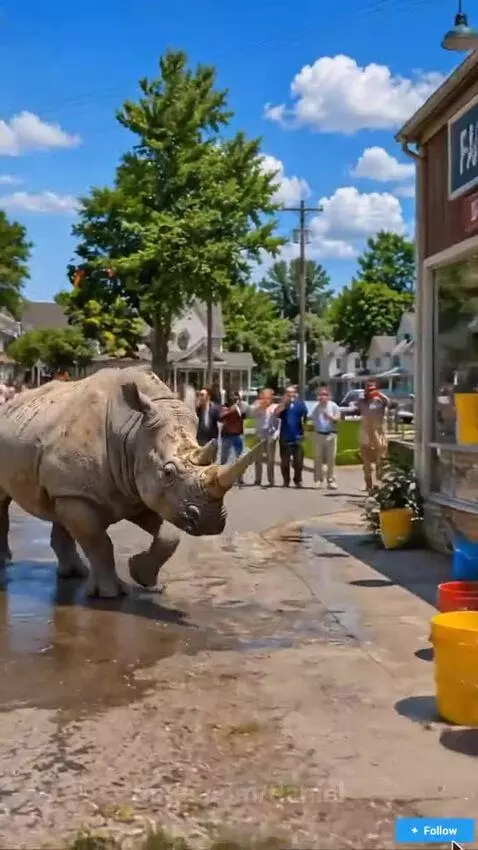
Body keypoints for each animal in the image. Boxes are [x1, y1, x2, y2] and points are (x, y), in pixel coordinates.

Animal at [0, 367, 263, 597]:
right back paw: (7, 563)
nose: (212, 522)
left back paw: (74, 574)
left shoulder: (137, 491)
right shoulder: (83, 494)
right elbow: (99, 543)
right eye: (168, 472)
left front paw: (145, 578)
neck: (133, 430)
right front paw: (111, 594)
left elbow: (169, 536)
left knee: (59, 510)